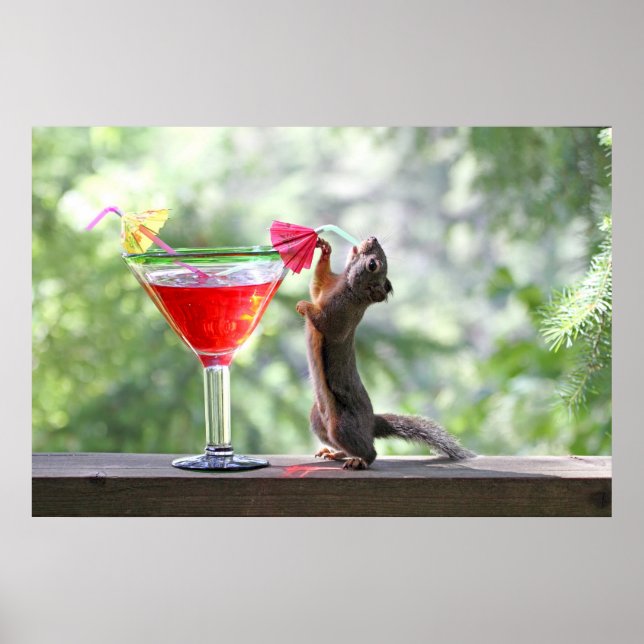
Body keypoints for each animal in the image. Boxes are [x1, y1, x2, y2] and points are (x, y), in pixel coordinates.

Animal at [296, 236, 475, 470]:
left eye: (373, 265)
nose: (372, 238)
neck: (346, 287)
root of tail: (371, 423)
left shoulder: (339, 317)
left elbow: (323, 321)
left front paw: (303, 305)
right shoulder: (325, 288)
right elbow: (316, 284)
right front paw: (325, 249)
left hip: (341, 426)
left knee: (370, 451)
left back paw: (359, 461)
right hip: (318, 419)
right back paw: (335, 453)